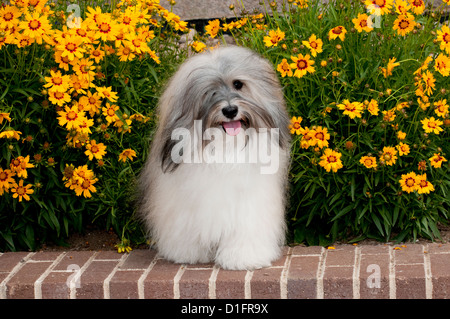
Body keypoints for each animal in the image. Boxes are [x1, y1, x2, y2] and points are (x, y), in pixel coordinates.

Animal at [138, 45, 292, 270]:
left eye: (238, 84)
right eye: (209, 91)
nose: (230, 110)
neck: (225, 147)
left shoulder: (249, 202)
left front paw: (243, 257)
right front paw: (188, 253)